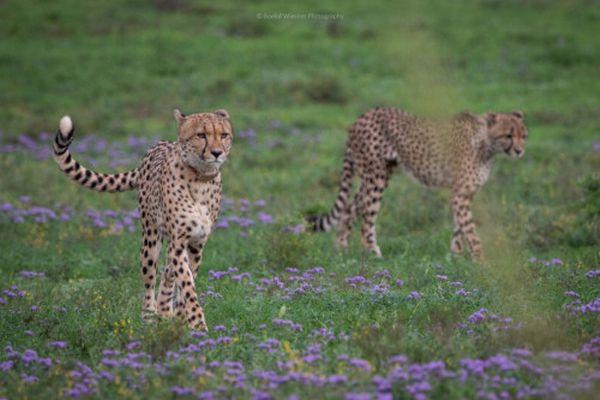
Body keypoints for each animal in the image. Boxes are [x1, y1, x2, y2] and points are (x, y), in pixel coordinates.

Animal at [52, 108, 233, 330]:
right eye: (201, 135)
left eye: (223, 135)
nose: (217, 153)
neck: (200, 179)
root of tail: (158, 145)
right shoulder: (179, 241)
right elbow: (186, 284)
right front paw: (198, 324)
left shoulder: (197, 244)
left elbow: (185, 280)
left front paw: (182, 317)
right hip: (150, 239)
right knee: (151, 279)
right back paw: (150, 317)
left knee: (167, 273)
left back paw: (166, 311)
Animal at [308, 108, 528, 260]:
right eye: (508, 135)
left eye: (523, 136)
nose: (520, 151)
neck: (486, 143)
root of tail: (361, 116)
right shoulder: (460, 193)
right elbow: (470, 229)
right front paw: (481, 260)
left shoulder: (465, 193)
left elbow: (460, 225)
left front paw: (456, 255)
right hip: (376, 176)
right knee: (367, 218)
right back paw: (373, 253)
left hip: (377, 175)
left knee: (349, 208)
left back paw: (341, 249)